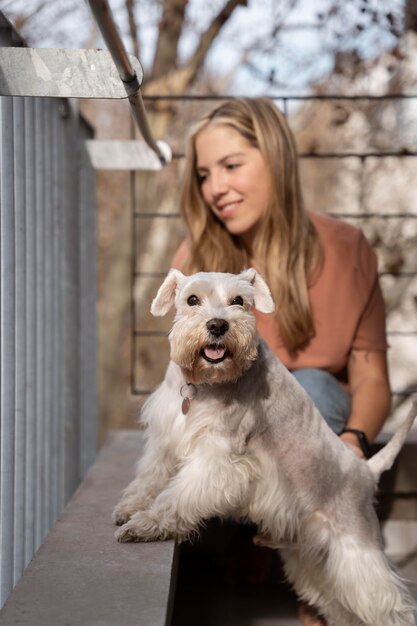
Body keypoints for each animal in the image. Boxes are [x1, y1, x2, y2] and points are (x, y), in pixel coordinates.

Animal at [114, 268, 416, 624]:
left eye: (238, 300)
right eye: (192, 299)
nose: (218, 325)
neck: (204, 383)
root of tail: (366, 470)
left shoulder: (217, 457)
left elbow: (175, 498)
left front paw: (144, 525)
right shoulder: (166, 435)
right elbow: (151, 476)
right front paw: (130, 507)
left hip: (357, 553)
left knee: (389, 605)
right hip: (314, 559)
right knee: (340, 606)